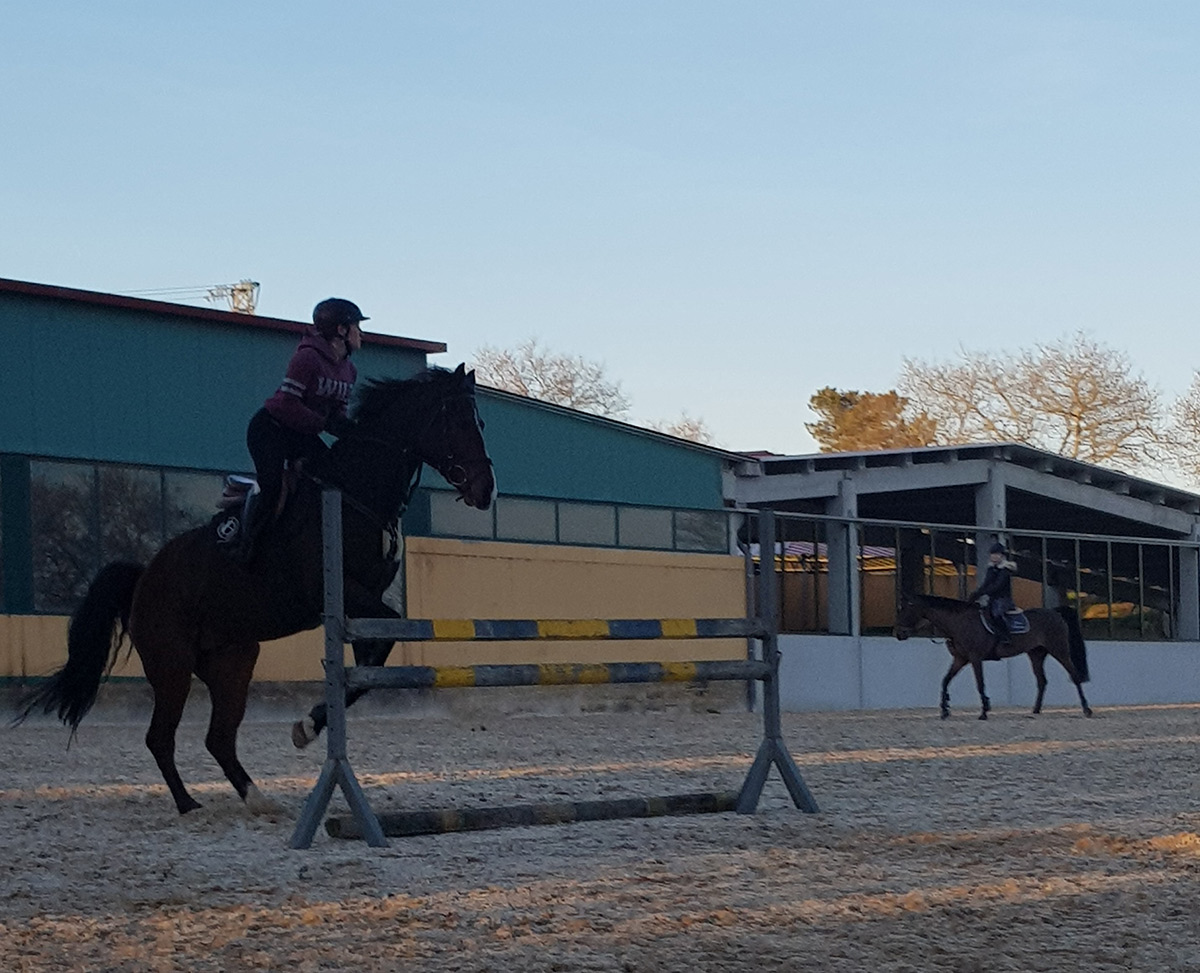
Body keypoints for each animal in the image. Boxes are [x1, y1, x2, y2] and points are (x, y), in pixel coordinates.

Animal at [14, 364, 492, 815]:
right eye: (455, 419)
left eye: (479, 421)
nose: (485, 490)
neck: (356, 492)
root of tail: (144, 577)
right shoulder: (336, 593)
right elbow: (380, 642)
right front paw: (308, 726)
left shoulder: (361, 601)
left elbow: (368, 667)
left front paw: (310, 724)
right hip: (172, 665)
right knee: (160, 737)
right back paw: (189, 805)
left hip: (233, 661)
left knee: (219, 738)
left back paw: (257, 799)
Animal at [897, 592, 1094, 724]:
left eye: (905, 608)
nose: (898, 634)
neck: (959, 623)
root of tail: (1054, 612)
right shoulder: (960, 659)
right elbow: (945, 681)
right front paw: (945, 710)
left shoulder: (975, 658)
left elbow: (980, 683)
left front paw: (984, 711)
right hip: (1036, 654)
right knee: (1042, 680)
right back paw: (1036, 710)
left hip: (1059, 650)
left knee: (1074, 676)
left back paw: (1087, 709)